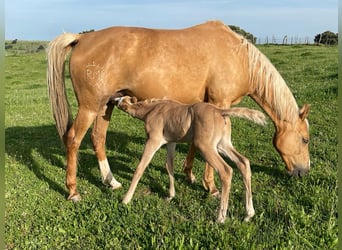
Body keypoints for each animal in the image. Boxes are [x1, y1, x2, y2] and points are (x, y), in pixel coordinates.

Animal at [46, 20, 310, 202]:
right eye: (305, 140)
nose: (304, 172)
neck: (238, 56)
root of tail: (82, 38)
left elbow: (194, 143)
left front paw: (190, 175)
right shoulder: (220, 104)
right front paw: (211, 187)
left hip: (106, 106)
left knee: (97, 138)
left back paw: (112, 182)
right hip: (90, 108)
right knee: (73, 139)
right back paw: (73, 191)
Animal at [113, 95, 266, 223]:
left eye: (121, 100)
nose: (114, 99)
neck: (150, 110)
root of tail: (220, 111)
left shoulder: (153, 140)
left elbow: (140, 167)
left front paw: (125, 199)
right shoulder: (171, 142)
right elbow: (169, 165)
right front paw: (170, 196)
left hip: (205, 146)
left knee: (226, 170)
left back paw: (220, 218)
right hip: (223, 144)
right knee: (243, 162)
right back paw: (248, 214)